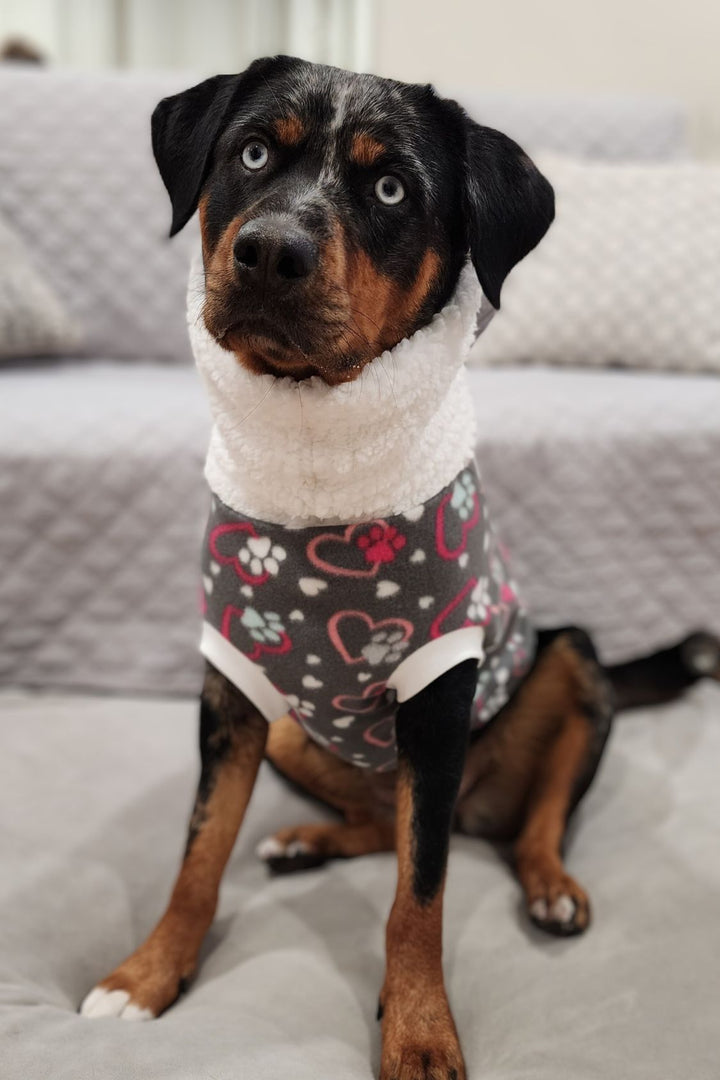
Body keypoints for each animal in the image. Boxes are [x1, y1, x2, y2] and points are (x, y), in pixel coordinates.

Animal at [78, 59, 720, 1080]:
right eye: (251, 152)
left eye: (390, 190)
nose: (271, 251)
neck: (320, 478)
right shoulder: (232, 689)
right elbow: (198, 855)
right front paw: (147, 975)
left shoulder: (436, 690)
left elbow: (418, 898)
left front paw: (419, 1030)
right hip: (294, 728)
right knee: (387, 821)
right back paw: (306, 840)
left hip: (568, 665)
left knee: (524, 822)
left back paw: (551, 886)